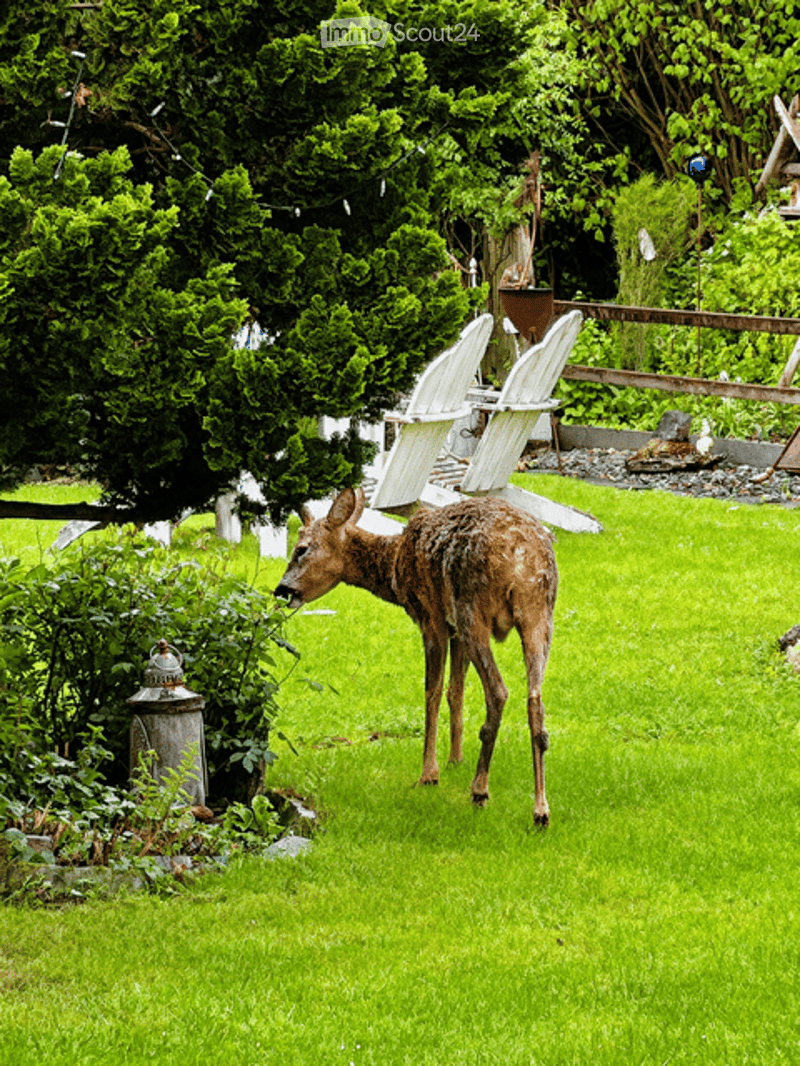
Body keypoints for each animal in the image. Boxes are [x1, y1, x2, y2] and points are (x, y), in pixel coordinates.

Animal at [274, 487, 558, 826]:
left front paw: (428, 774)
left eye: (301, 549)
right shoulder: (454, 628)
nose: (281, 589)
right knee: (535, 699)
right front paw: (455, 760)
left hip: (472, 607)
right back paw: (540, 810)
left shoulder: (431, 617)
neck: (396, 567)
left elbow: (432, 692)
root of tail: (520, 557)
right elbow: (455, 692)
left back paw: (479, 791)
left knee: (499, 692)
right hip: (538, 613)